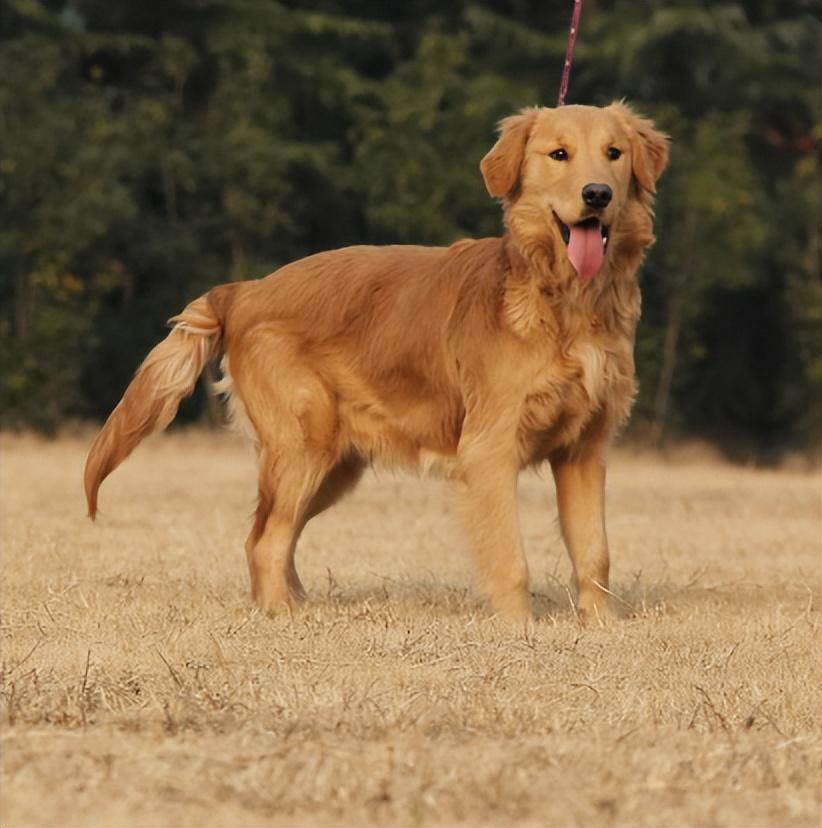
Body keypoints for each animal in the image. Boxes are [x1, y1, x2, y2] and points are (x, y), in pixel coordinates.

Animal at [87, 103, 672, 620]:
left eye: (614, 153)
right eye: (559, 154)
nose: (597, 194)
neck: (567, 302)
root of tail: (243, 289)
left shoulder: (583, 453)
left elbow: (594, 555)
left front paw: (598, 627)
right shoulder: (490, 450)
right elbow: (510, 559)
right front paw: (518, 630)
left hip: (334, 466)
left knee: (275, 536)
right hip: (304, 447)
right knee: (264, 540)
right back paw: (284, 616)